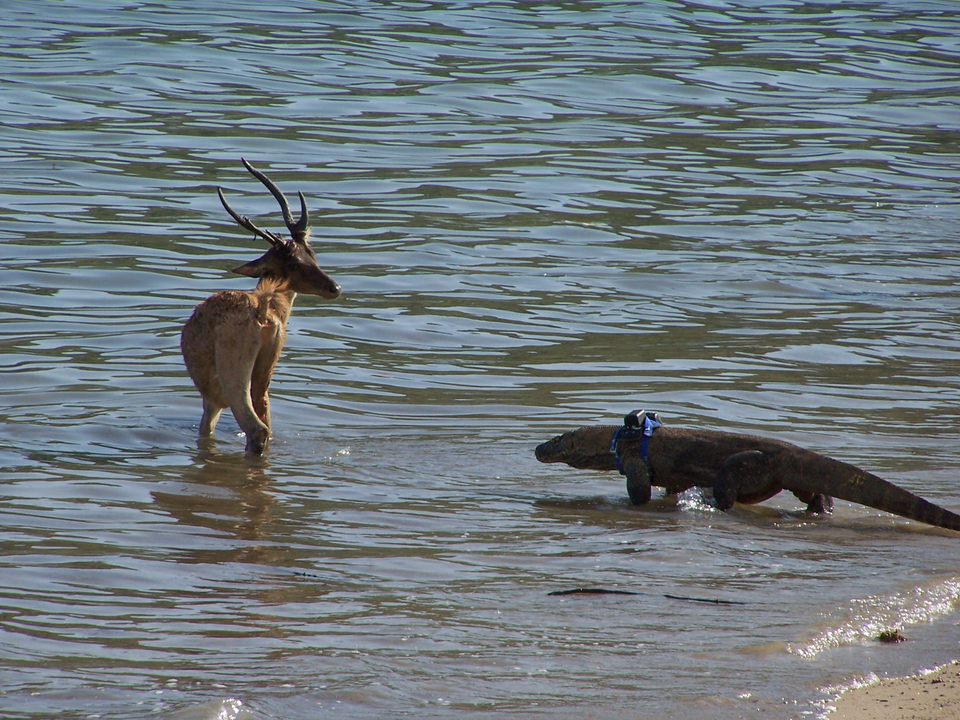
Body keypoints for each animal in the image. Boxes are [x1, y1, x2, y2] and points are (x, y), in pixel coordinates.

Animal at [180, 158, 341, 454]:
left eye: (311, 254)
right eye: (297, 261)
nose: (334, 287)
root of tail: (262, 311)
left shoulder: (211, 398)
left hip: (232, 368)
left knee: (256, 427)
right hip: (266, 365)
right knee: (265, 419)